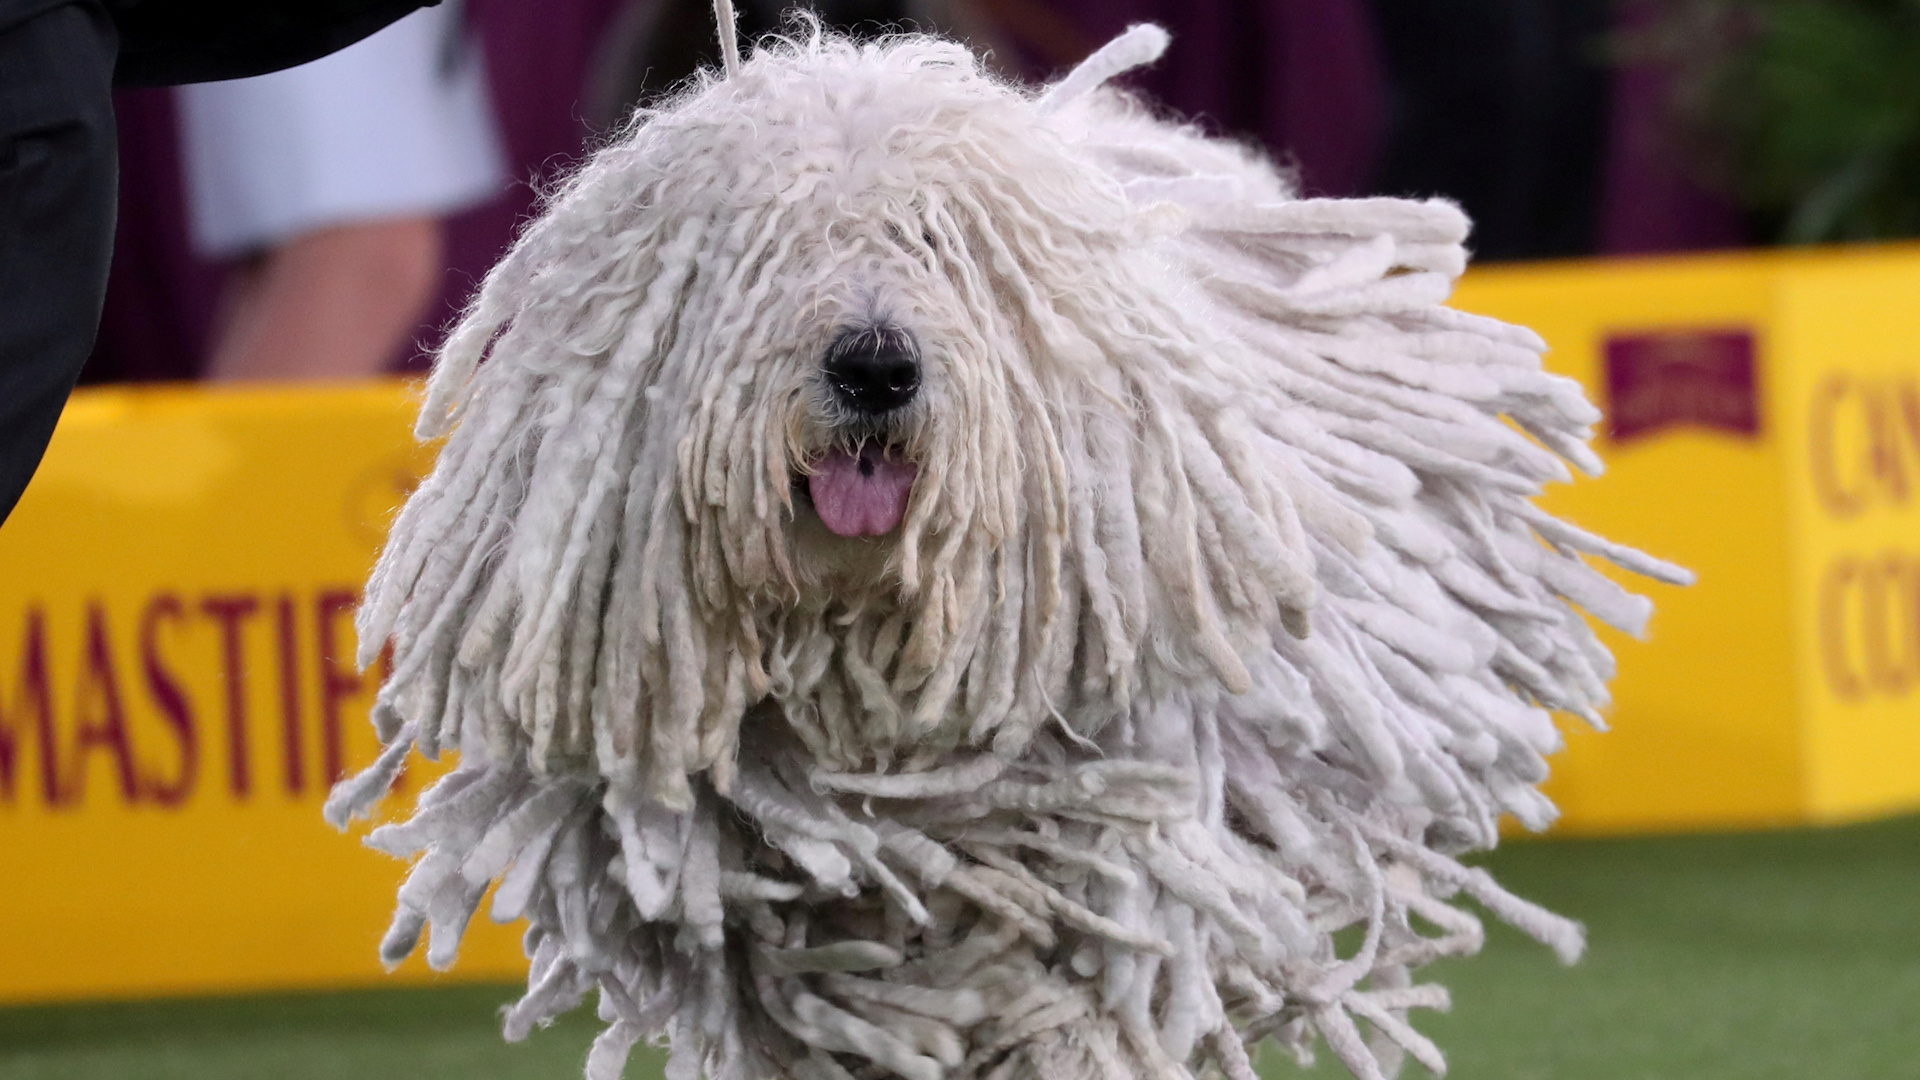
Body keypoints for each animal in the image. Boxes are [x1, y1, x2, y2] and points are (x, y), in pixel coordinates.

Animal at [322, 14, 1689, 1076]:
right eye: (775, 251)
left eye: (940, 242)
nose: (875, 364)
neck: (860, 647)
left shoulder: (1126, 839)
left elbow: (1082, 982)